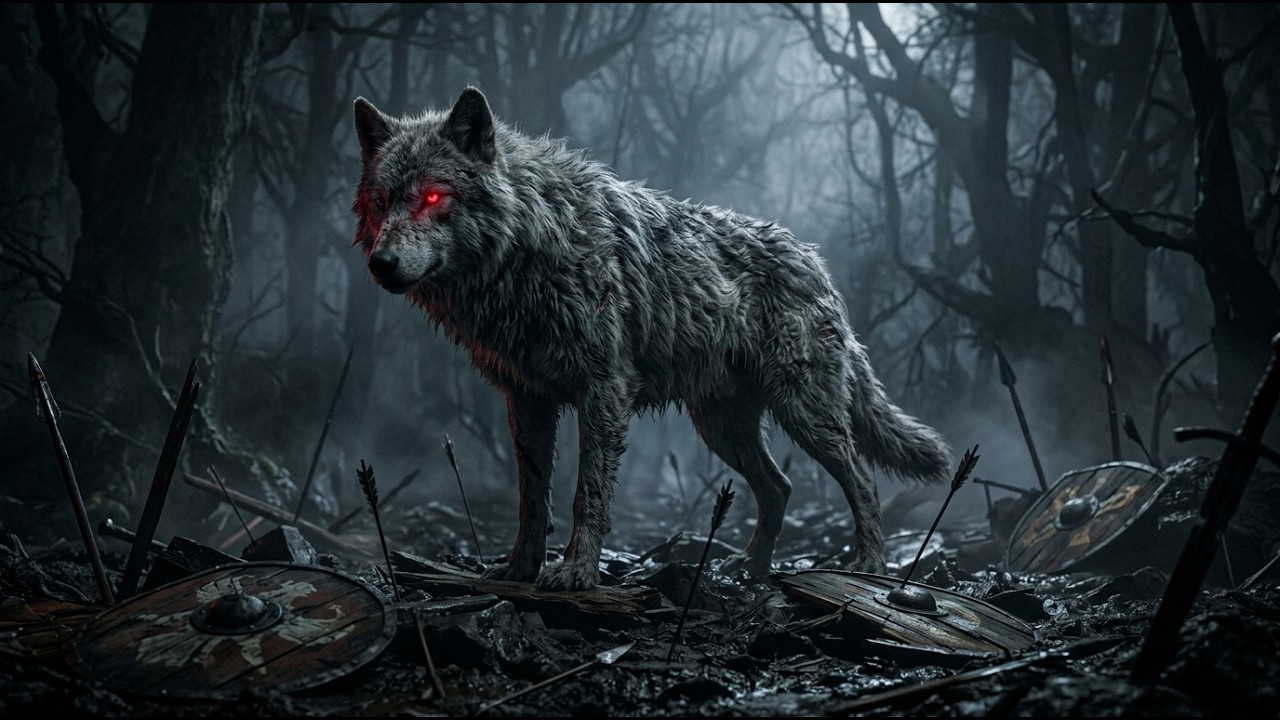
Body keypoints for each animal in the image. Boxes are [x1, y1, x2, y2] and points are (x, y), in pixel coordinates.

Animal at [350, 86, 952, 591]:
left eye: (433, 197)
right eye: (382, 202)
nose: (380, 264)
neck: (530, 244)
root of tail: (817, 263)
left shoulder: (603, 391)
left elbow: (585, 495)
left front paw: (576, 572)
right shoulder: (527, 399)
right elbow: (532, 498)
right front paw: (520, 569)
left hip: (804, 415)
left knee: (862, 480)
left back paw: (867, 566)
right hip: (722, 427)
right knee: (779, 486)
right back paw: (750, 569)